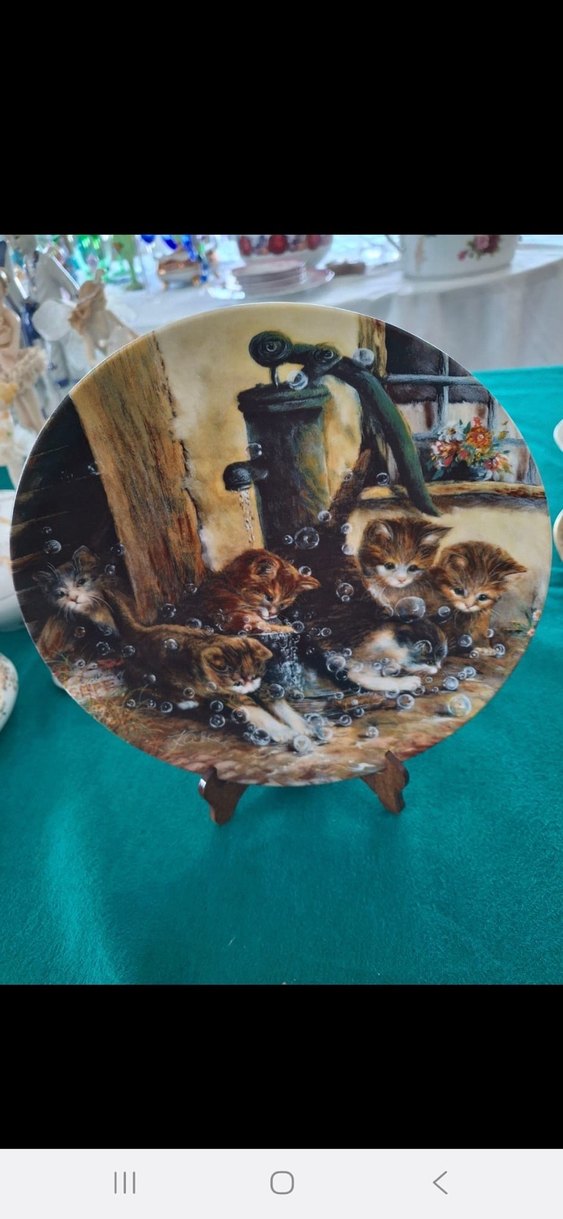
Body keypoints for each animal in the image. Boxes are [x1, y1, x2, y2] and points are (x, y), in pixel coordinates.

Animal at [104, 589, 317, 744]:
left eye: (254, 676)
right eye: (237, 682)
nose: (247, 685)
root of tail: (140, 632)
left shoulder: (262, 686)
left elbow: (280, 705)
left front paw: (303, 726)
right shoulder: (228, 694)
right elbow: (258, 712)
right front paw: (283, 732)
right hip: (147, 677)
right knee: (148, 691)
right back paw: (185, 702)